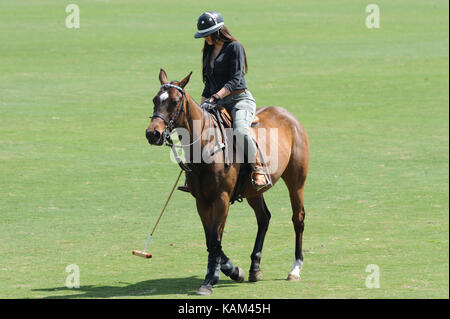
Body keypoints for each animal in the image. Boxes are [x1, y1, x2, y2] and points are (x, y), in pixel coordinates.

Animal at [146, 70, 308, 298]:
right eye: (155, 100)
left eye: (174, 102)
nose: (152, 134)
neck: (206, 145)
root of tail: (289, 115)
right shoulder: (202, 201)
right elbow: (211, 239)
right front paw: (232, 270)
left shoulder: (220, 199)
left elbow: (215, 239)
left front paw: (211, 279)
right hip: (253, 191)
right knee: (264, 218)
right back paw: (254, 267)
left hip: (296, 180)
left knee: (298, 218)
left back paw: (294, 269)